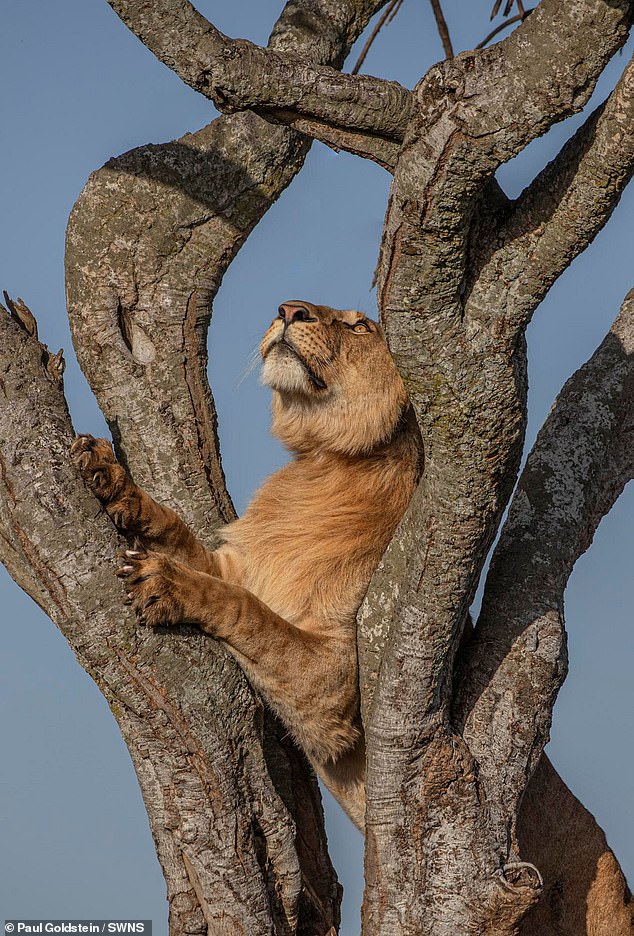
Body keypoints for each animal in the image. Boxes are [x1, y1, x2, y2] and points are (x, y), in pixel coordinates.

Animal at [71, 300, 422, 828]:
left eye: (360, 326)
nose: (290, 309)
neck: (321, 466)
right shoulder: (237, 565)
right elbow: (179, 533)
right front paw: (111, 478)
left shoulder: (336, 681)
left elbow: (249, 611)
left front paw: (166, 584)